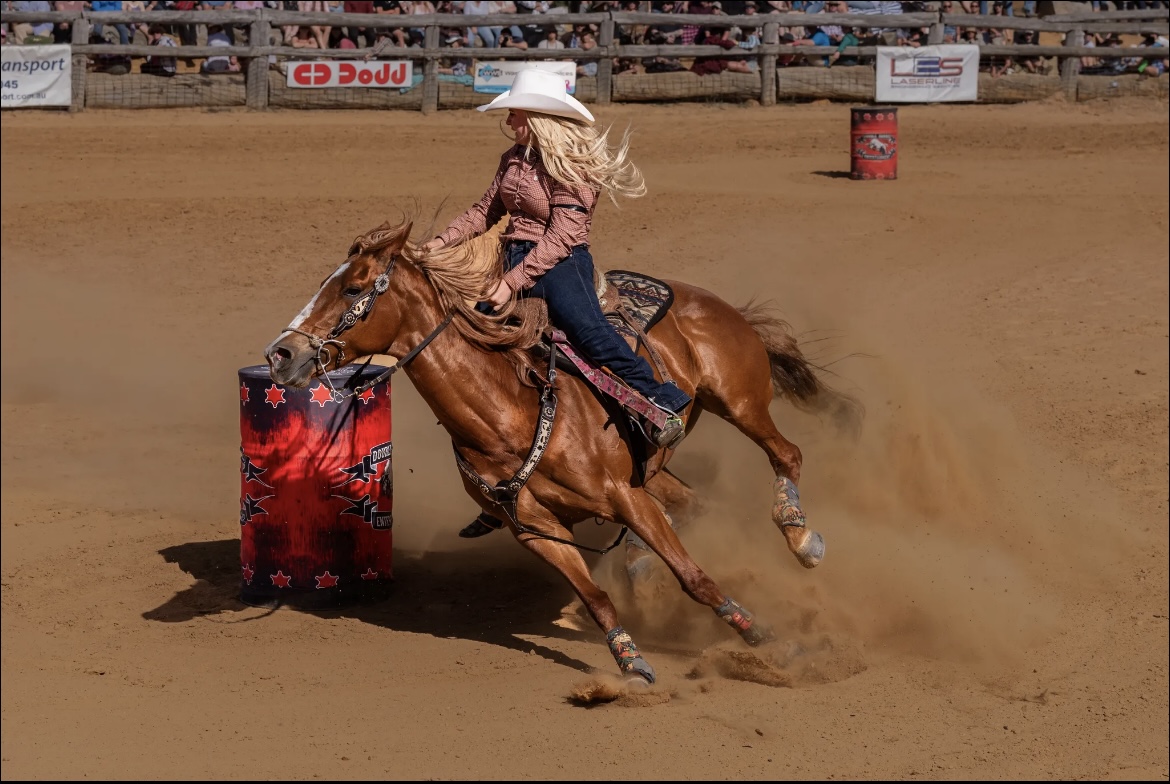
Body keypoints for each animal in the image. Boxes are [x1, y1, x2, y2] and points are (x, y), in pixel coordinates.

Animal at [267, 219, 861, 683]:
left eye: (353, 290)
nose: (280, 354)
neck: (510, 413)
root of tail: (710, 301)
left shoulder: (626, 498)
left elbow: (695, 577)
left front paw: (761, 636)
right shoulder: (537, 531)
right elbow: (597, 598)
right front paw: (631, 666)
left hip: (739, 402)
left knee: (786, 454)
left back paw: (801, 536)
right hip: (658, 469)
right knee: (694, 502)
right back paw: (642, 566)